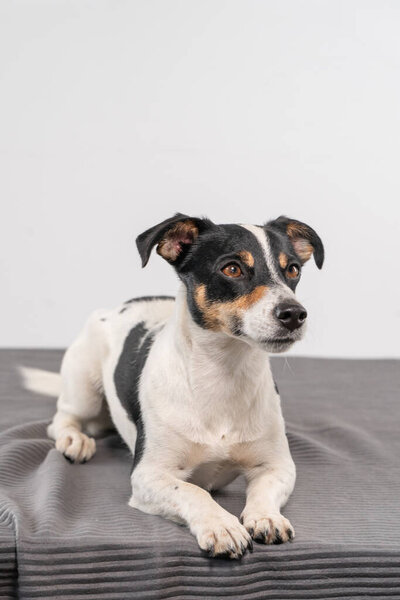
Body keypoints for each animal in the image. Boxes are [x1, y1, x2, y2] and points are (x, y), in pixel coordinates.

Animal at [47, 212, 324, 556]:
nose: (295, 314)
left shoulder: (277, 465)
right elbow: (194, 492)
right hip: (84, 385)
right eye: (232, 268)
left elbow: (264, 490)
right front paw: (221, 526)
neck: (223, 373)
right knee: (63, 418)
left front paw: (266, 517)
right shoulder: (148, 475)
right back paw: (75, 440)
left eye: (293, 269)